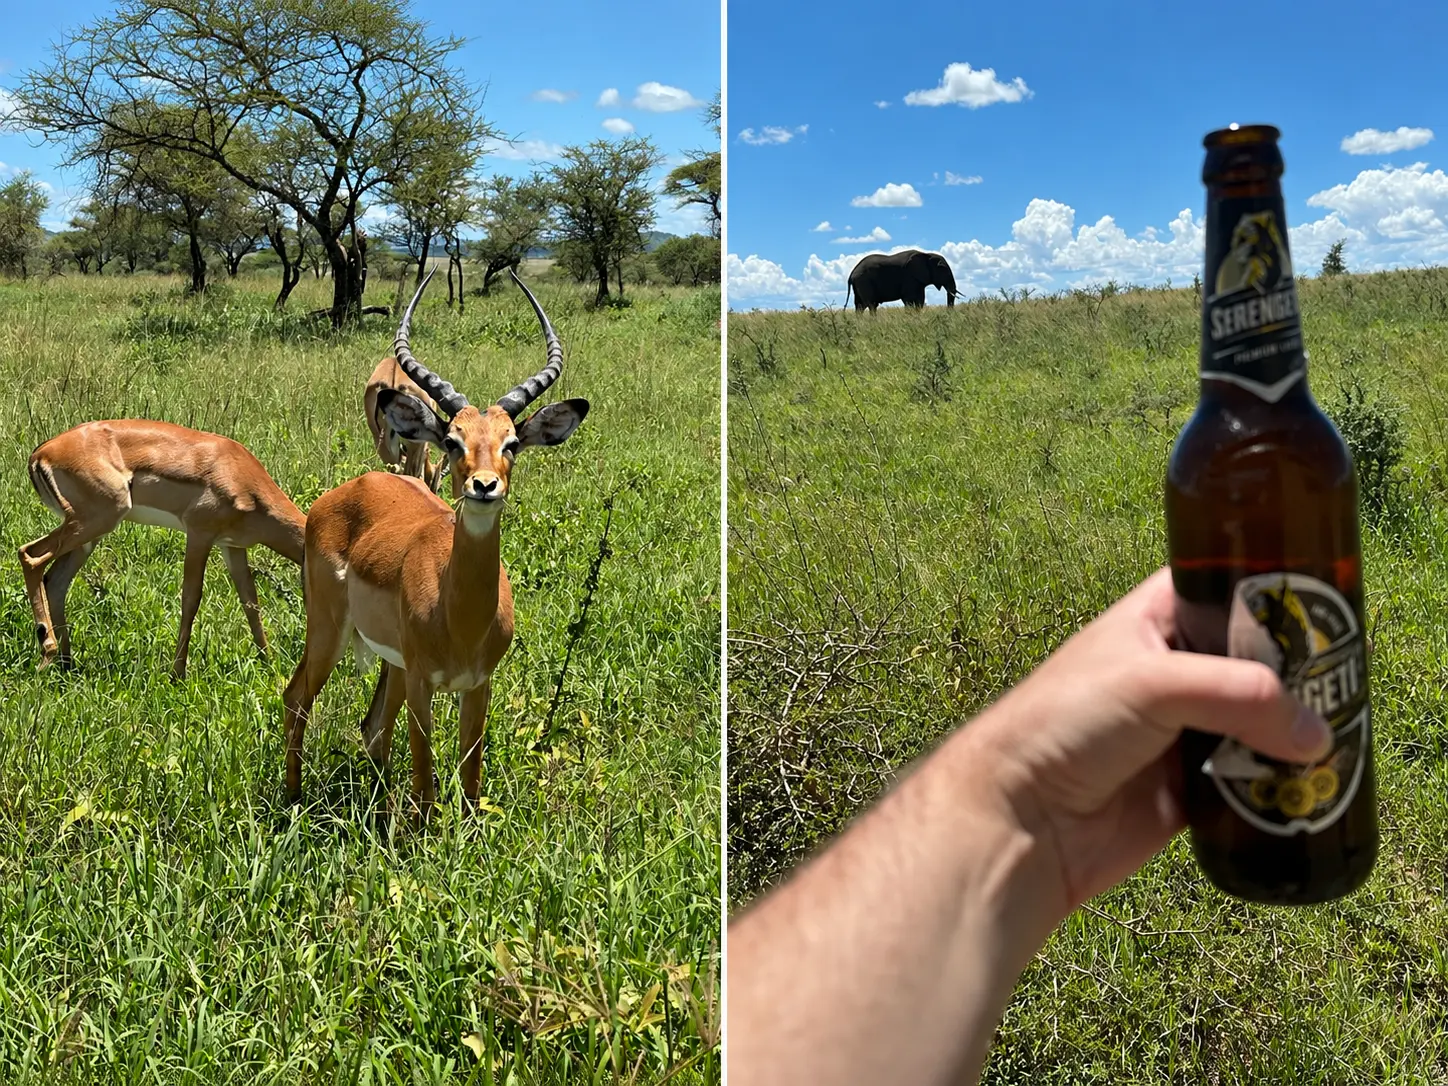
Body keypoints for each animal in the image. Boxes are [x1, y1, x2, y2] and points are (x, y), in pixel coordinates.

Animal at [18, 420, 306, 678]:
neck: (240, 474)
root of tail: (42, 453)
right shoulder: (199, 534)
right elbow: (191, 599)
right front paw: (177, 674)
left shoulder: (232, 546)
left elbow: (250, 602)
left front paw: (268, 663)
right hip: (96, 520)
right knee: (30, 555)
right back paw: (48, 652)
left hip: (88, 533)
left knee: (56, 581)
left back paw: (68, 664)